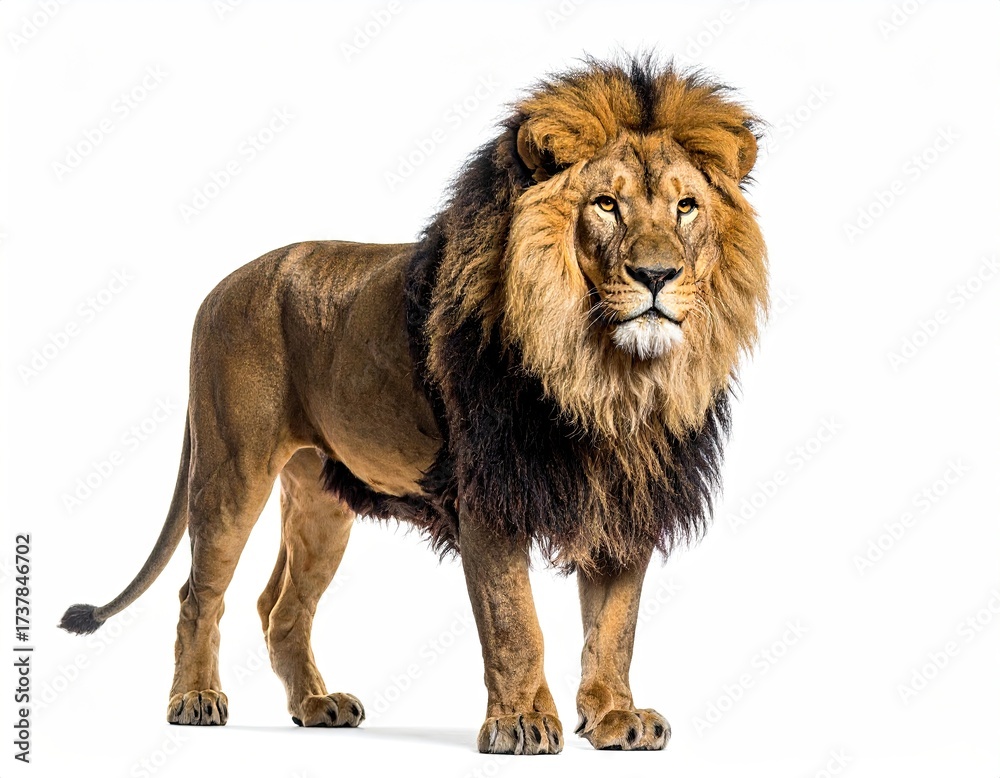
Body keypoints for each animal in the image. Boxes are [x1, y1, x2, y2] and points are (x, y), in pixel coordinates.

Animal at [60, 57, 767, 755]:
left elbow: (615, 626)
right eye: (606, 205)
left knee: (281, 606)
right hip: (232, 468)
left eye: (685, 207)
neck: (606, 375)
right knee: (198, 592)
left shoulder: (626, 499)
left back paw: (316, 705)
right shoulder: (487, 496)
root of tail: (216, 288)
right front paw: (522, 723)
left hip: (321, 498)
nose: (657, 276)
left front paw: (616, 717)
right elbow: (515, 622)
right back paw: (194, 700)